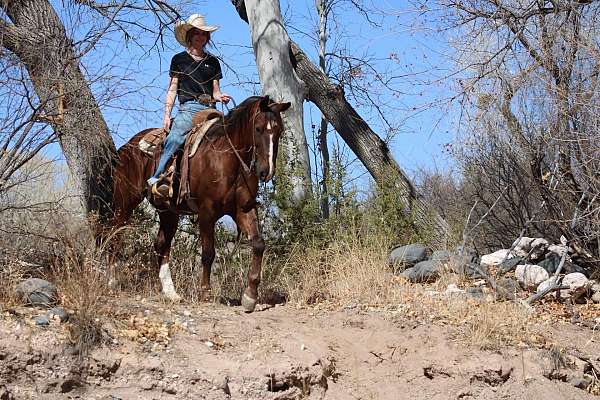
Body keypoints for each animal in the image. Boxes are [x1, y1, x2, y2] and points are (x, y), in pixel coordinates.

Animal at [112, 96, 292, 312]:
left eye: (279, 130)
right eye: (258, 128)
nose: (267, 171)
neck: (227, 158)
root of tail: (127, 146)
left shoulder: (244, 209)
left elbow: (258, 244)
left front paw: (250, 295)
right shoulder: (207, 212)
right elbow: (208, 253)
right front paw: (205, 292)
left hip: (168, 211)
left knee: (162, 244)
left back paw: (171, 293)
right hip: (125, 202)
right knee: (115, 234)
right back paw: (111, 280)